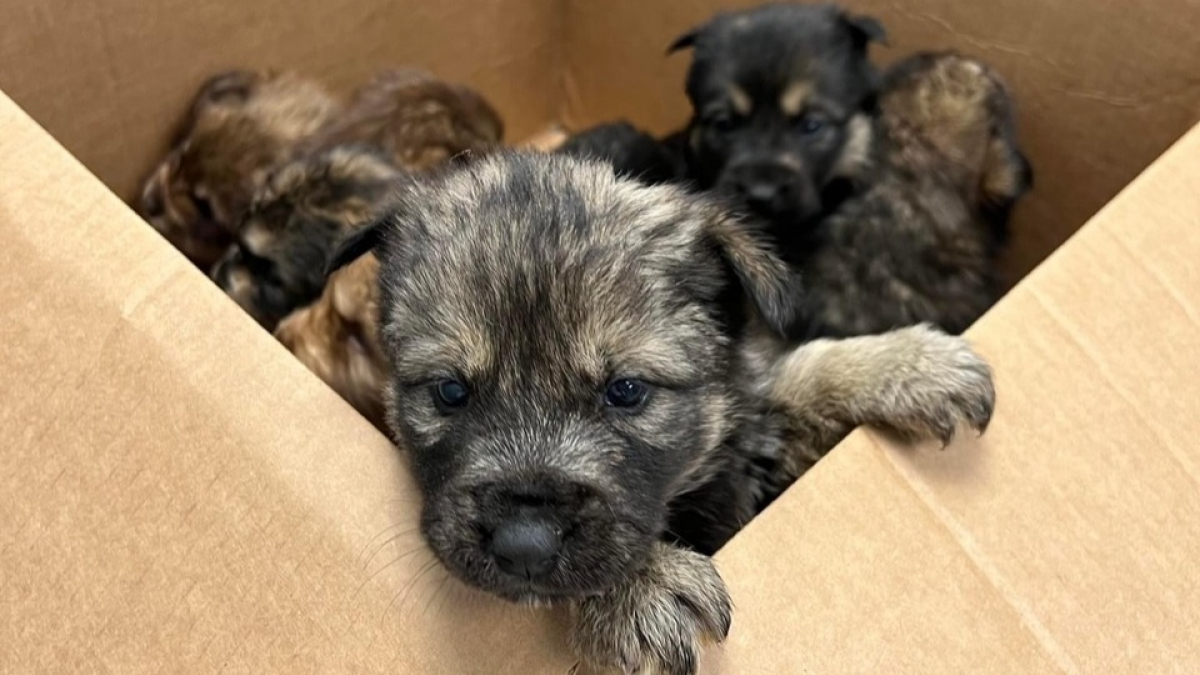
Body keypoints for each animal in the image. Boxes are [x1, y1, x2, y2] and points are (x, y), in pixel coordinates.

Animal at [326, 152, 993, 672]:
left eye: (626, 390)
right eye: (449, 391)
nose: (524, 545)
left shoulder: (745, 437)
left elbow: (790, 382)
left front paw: (905, 367)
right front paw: (642, 588)